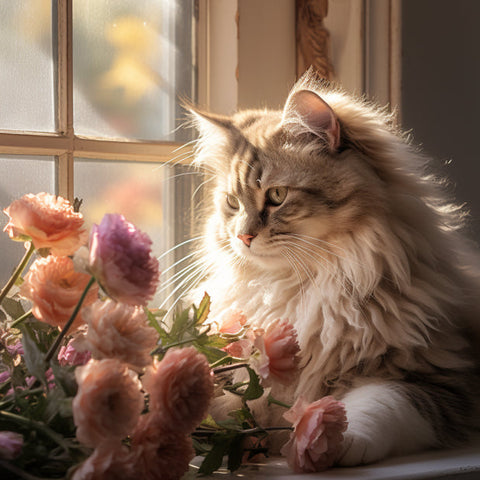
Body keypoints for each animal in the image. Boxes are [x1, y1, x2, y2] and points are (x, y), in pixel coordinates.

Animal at [186, 69, 480, 466]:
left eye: (277, 196)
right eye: (232, 203)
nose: (243, 236)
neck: (304, 284)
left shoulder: (435, 378)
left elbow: (378, 404)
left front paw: (330, 438)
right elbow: (223, 406)